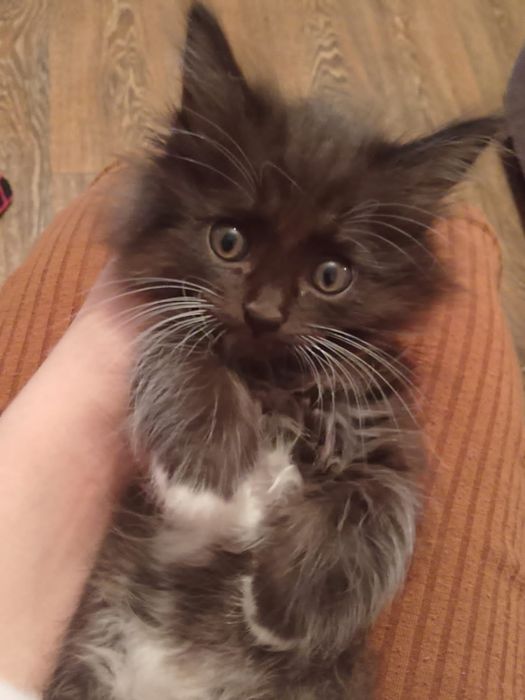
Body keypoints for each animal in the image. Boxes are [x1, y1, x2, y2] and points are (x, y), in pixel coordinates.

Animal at [46, 3, 500, 699]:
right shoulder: (166, 319)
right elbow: (182, 348)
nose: (262, 313)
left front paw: (280, 610)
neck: (271, 380)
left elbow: (380, 501)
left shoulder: (382, 422)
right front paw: (208, 483)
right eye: (228, 241)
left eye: (332, 276)